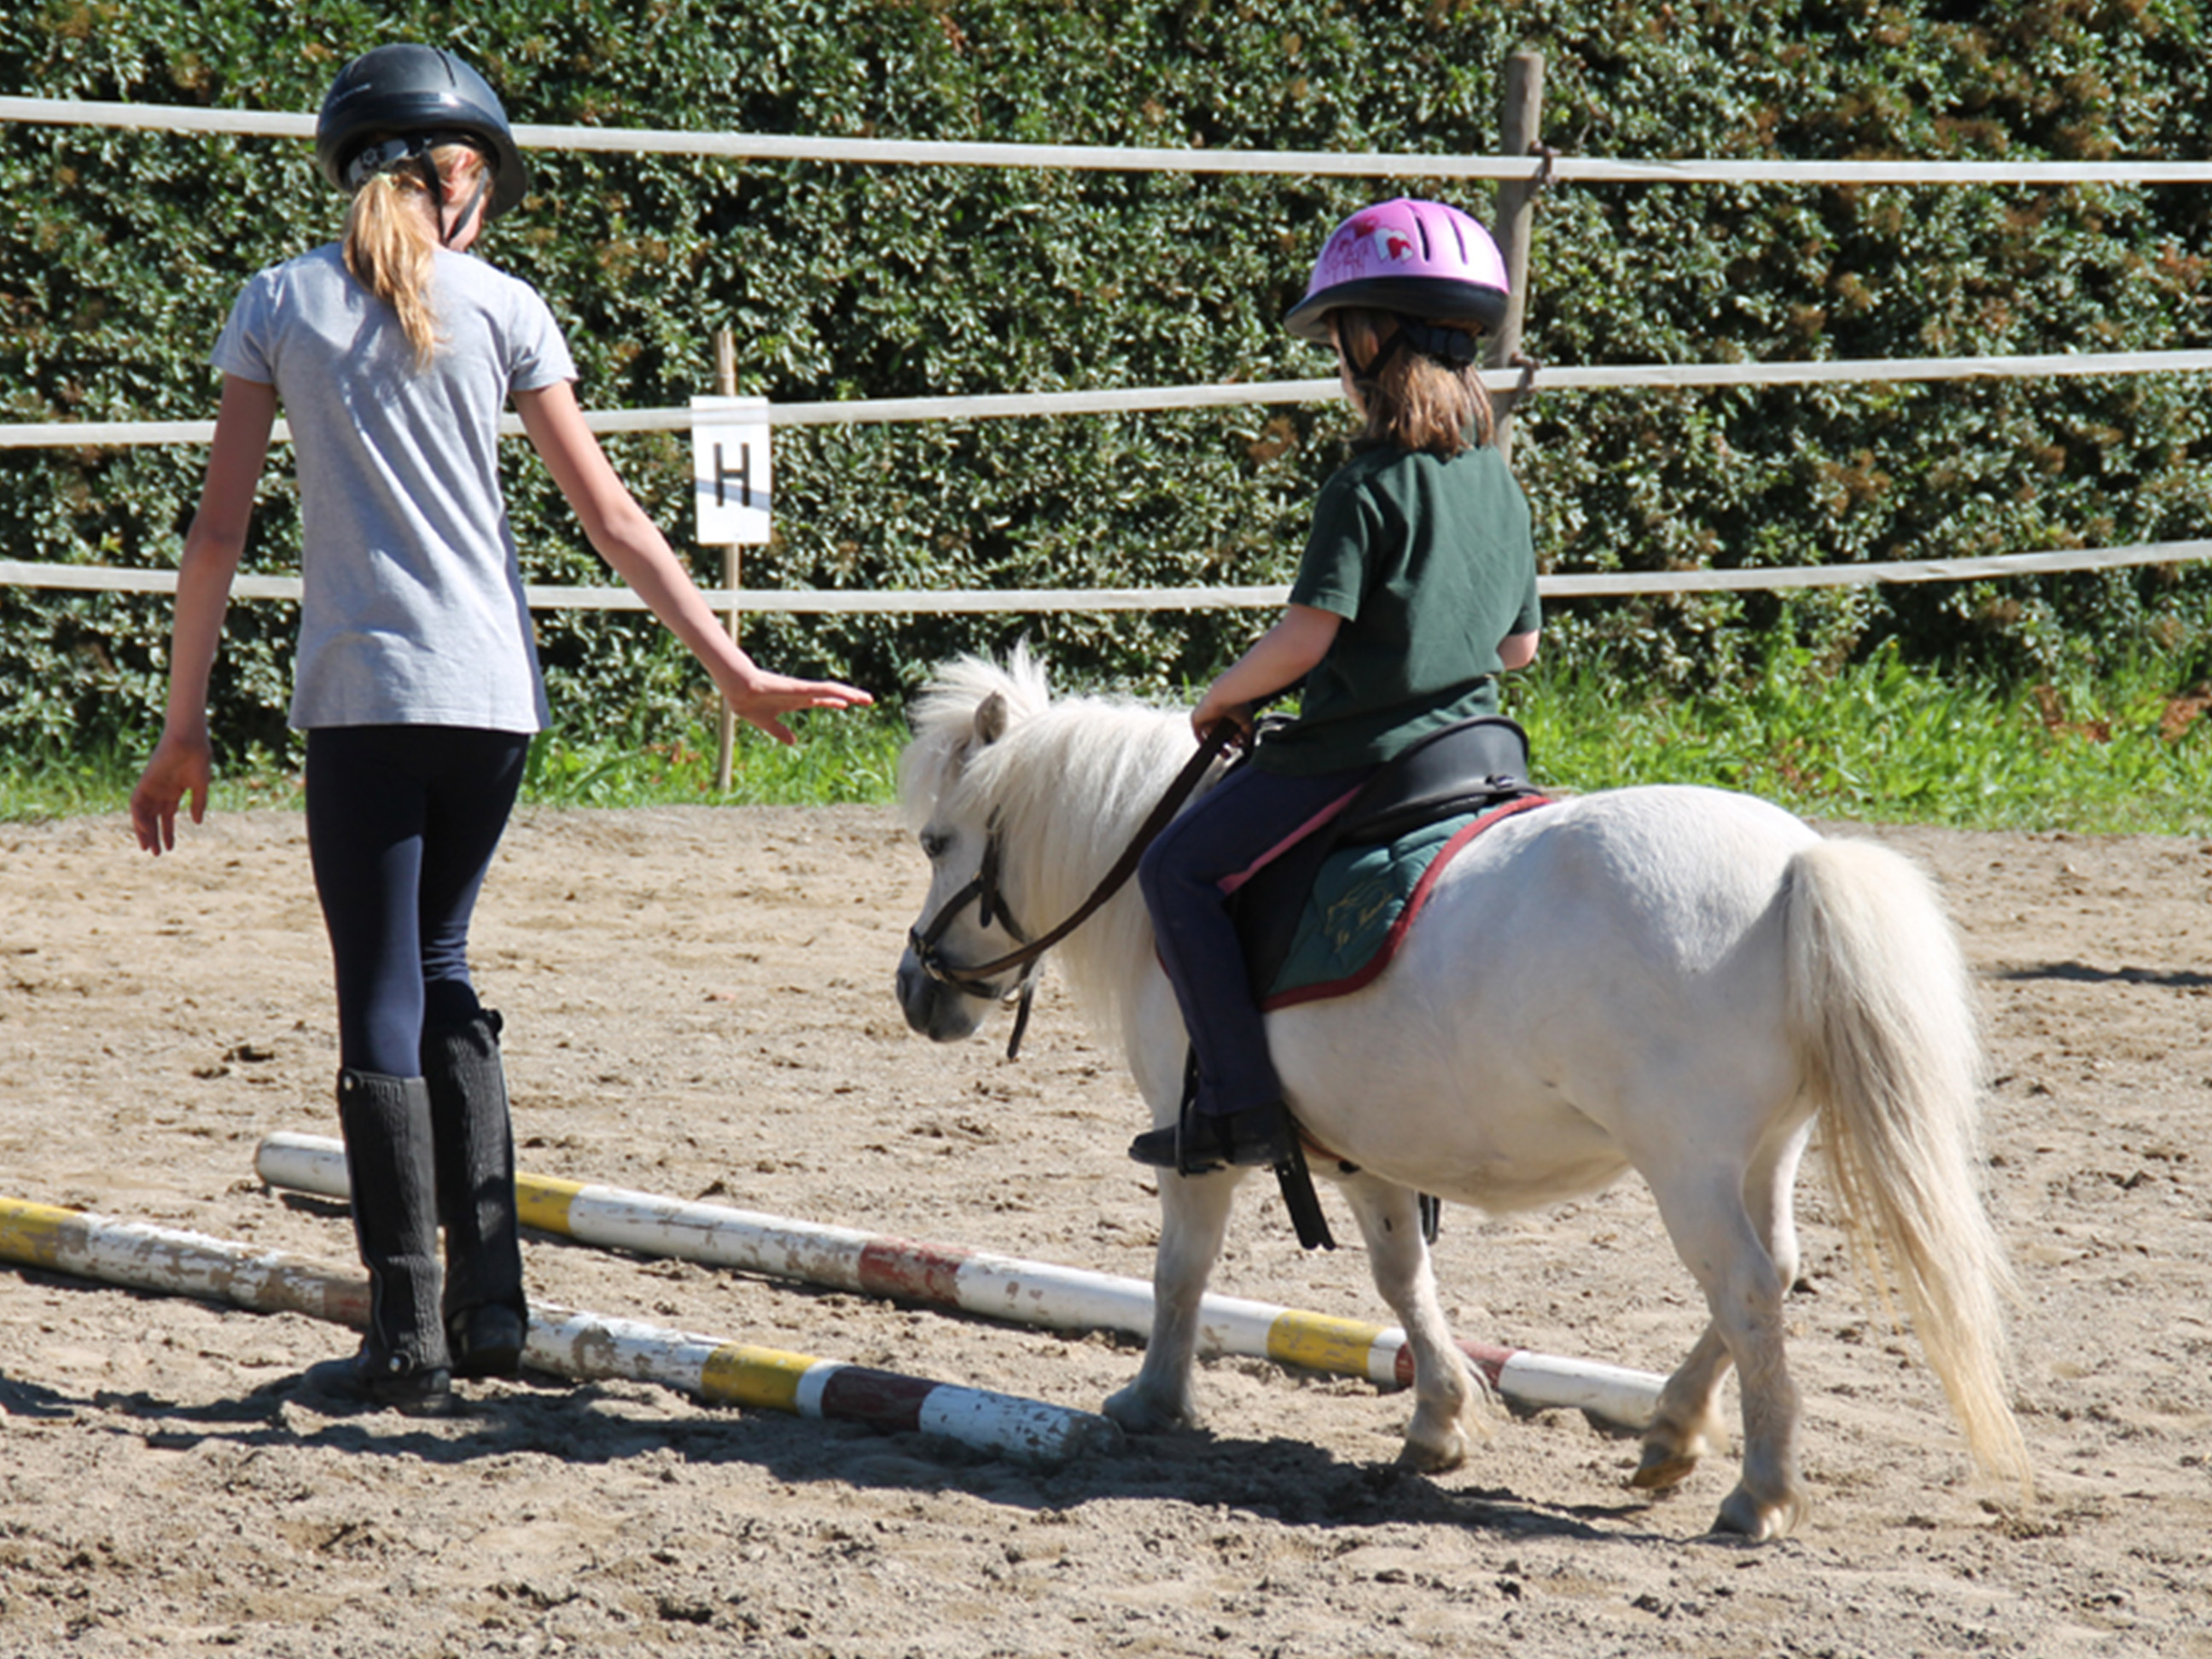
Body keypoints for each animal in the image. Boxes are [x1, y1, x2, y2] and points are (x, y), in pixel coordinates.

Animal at [888, 655, 2026, 1548]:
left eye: (939, 842)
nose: (917, 993)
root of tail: (1796, 860)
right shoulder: (1365, 1149)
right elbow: (1403, 1279)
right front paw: (1437, 1422)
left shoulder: (1195, 1143)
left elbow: (1181, 1273)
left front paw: (1153, 1401)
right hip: (1761, 1151)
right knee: (1772, 1275)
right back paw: (1670, 1431)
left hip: (1687, 1162)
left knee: (1743, 1287)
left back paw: (1760, 1492)